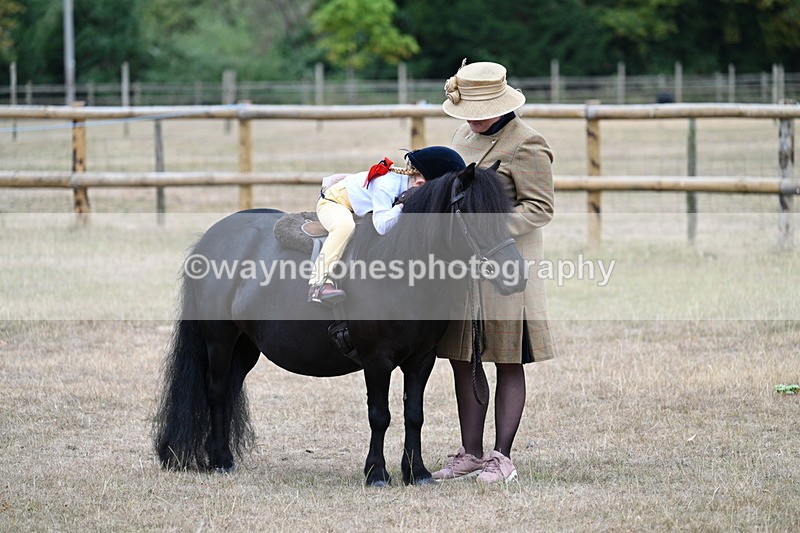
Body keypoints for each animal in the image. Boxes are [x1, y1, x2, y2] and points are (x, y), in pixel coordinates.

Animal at [152, 163, 527, 486]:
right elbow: (380, 415)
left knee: (229, 387)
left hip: (244, 348)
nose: (515, 276)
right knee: (216, 391)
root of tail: (211, 238)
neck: (401, 266)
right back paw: (220, 461)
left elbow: (414, 414)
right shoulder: (377, 360)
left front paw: (417, 473)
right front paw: (377, 474)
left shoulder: (421, 360)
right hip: (219, 339)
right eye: (476, 214)